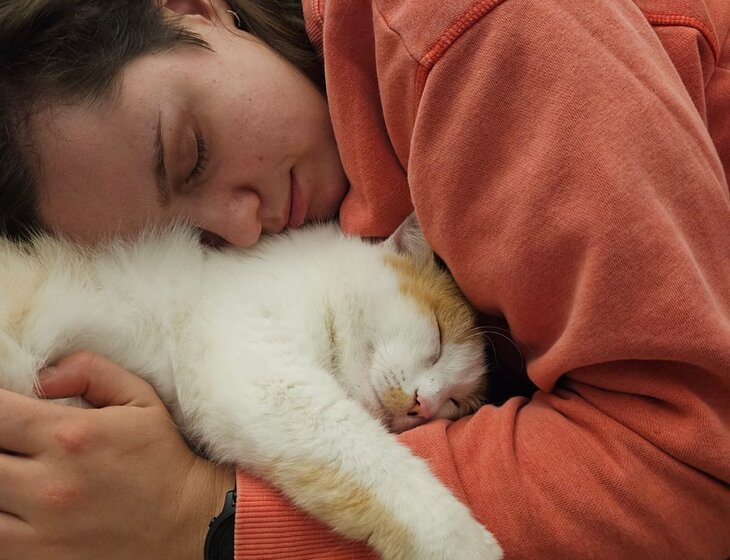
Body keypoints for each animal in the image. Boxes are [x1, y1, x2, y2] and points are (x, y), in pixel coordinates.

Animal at [0, 214, 502, 560]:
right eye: (438, 337)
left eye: (456, 403)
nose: (424, 404)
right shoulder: (267, 376)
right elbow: (377, 464)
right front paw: (463, 541)